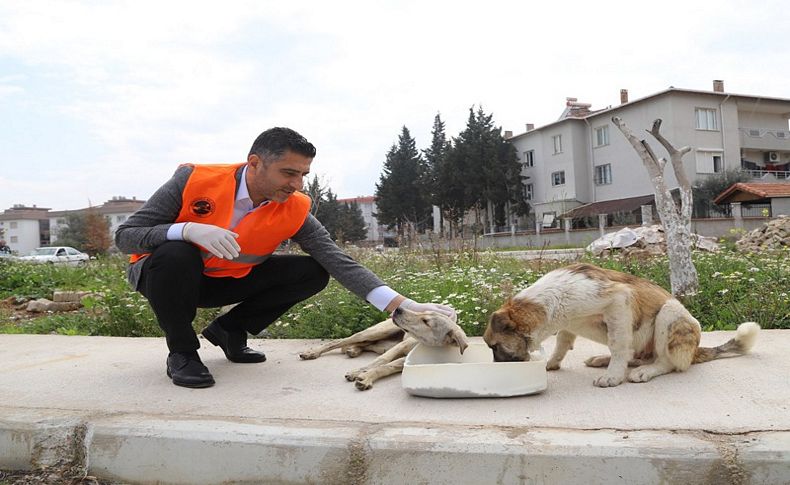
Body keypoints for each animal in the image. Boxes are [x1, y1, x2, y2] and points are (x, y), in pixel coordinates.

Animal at [300, 306, 468, 390]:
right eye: (423, 312)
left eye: (426, 321)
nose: (398, 309)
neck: (424, 344)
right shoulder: (400, 347)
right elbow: (381, 361)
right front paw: (359, 372)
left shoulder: (404, 360)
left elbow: (386, 367)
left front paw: (366, 376)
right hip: (376, 332)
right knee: (339, 342)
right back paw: (312, 352)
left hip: (382, 344)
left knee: (367, 345)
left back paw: (353, 350)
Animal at [482, 262, 760, 388]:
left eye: (494, 346)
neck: (553, 299)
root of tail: (695, 351)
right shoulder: (569, 324)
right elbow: (562, 343)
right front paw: (552, 362)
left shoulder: (617, 302)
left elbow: (618, 346)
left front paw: (613, 376)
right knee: (635, 355)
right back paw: (604, 360)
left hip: (670, 314)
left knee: (668, 362)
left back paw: (645, 370)